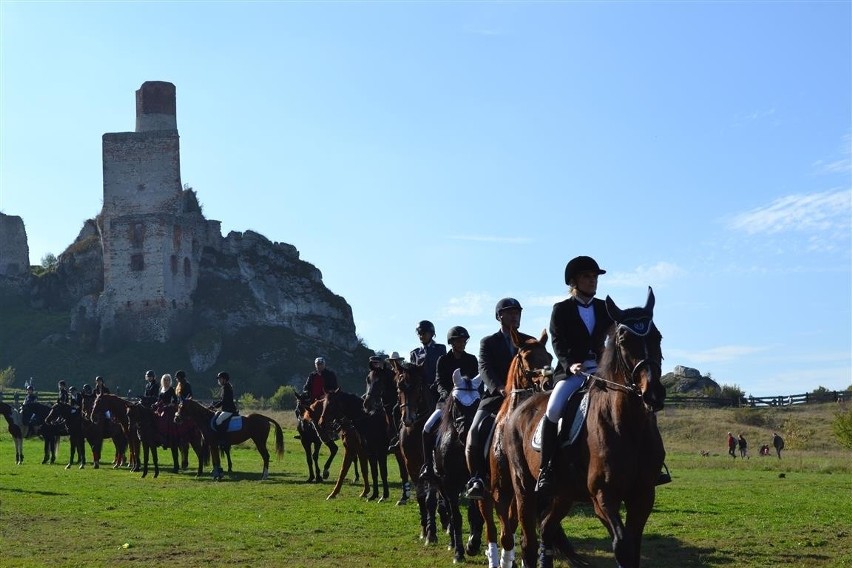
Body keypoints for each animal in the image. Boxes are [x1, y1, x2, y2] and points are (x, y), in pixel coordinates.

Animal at [390, 362, 436, 544]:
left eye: (418, 386)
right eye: (399, 386)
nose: (407, 419)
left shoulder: (430, 467)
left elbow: (431, 498)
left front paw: (431, 533)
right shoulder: (411, 465)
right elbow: (421, 497)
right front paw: (424, 530)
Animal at [432, 372, 486, 564]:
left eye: (477, 401)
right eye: (456, 401)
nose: (466, 431)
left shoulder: (476, 482)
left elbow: (474, 515)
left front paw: (473, 544)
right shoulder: (450, 484)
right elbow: (456, 517)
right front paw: (459, 552)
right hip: (441, 485)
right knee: (448, 510)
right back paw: (452, 543)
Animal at [506, 288, 664, 568]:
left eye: (657, 336)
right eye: (624, 340)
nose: (653, 394)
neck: (629, 427)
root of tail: (520, 408)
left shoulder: (643, 494)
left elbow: (633, 548)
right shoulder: (603, 496)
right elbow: (622, 545)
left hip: (563, 493)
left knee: (546, 528)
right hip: (524, 487)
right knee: (528, 541)